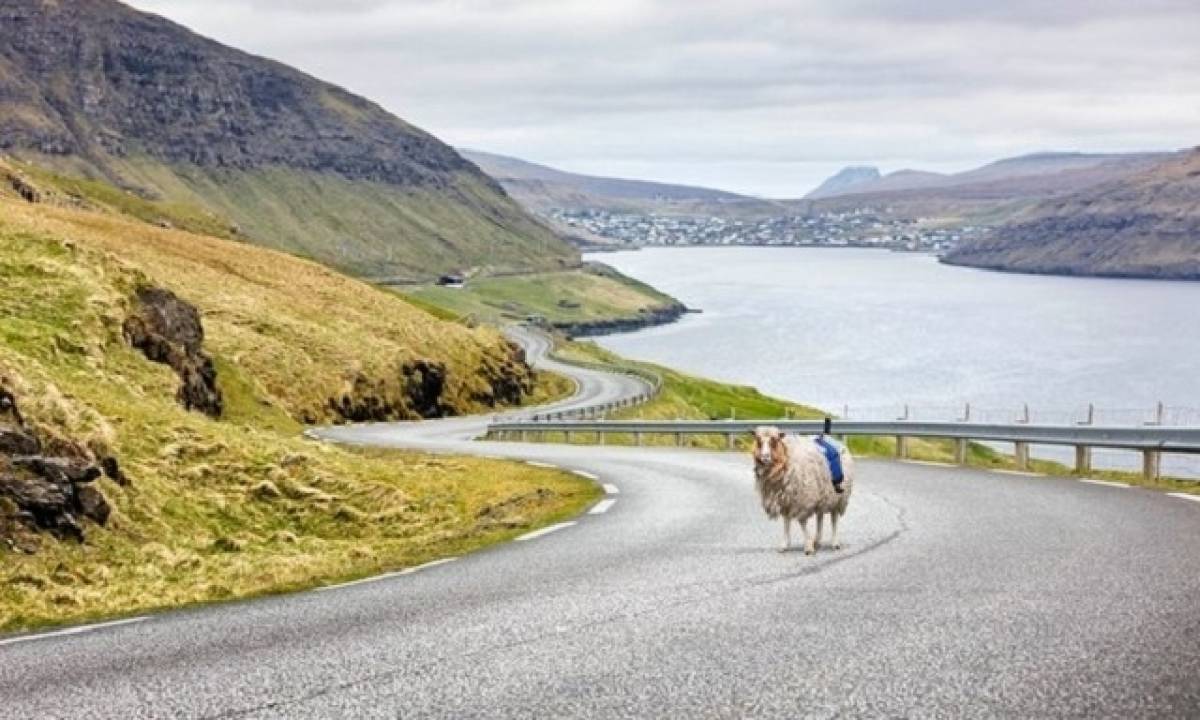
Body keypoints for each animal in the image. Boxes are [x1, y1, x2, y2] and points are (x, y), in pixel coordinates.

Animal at [751, 426, 854, 555]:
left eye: (774, 441)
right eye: (758, 441)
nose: (765, 457)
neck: (787, 457)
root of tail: (834, 441)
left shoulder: (803, 498)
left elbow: (802, 522)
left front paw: (808, 547)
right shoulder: (785, 499)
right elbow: (786, 522)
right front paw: (784, 544)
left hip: (838, 496)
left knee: (834, 518)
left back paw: (834, 542)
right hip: (822, 493)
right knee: (820, 516)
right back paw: (817, 540)